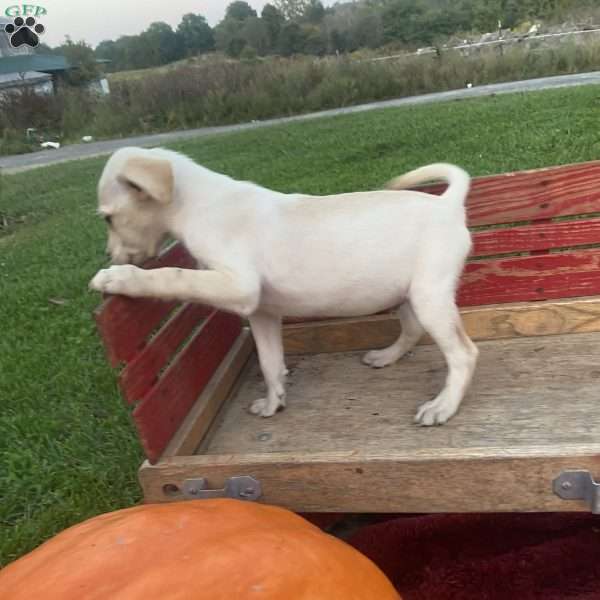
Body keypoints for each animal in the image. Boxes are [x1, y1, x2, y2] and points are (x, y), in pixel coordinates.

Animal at [90, 147, 478, 424]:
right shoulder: (262, 312)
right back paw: (386, 356)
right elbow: (269, 362)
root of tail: (447, 204)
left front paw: (120, 277)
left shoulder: (239, 287)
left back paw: (443, 406)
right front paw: (273, 402)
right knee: (412, 330)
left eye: (108, 218)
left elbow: (174, 275)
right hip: (407, 294)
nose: (109, 254)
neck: (198, 204)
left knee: (463, 353)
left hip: (430, 296)